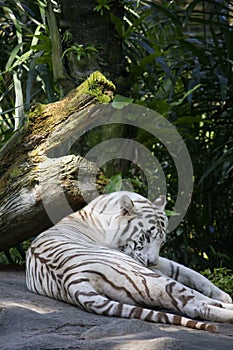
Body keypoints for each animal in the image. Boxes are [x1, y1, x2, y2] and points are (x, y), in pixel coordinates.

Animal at [25, 191, 233, 330]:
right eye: (146, 236)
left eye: (162, 240)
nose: (151, 263)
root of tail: (70, 278)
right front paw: (223, 299)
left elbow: (188, 271)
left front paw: (223, 295)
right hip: (142, 275)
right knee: (193, 304)